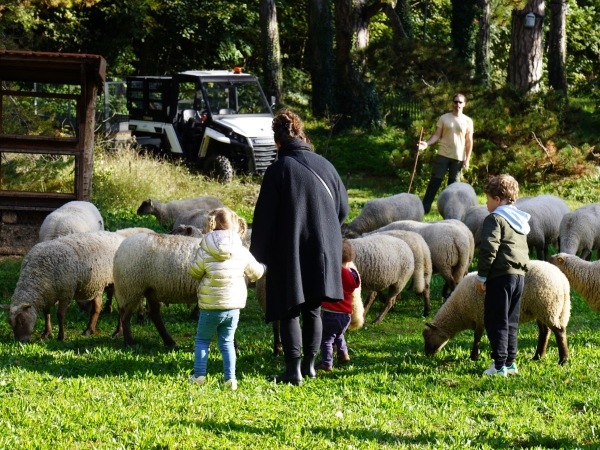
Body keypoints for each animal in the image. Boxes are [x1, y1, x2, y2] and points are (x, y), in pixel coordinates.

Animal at [422, 260, 572, 366]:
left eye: (427, 337)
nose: (426, 355)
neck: (458, 310)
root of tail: (563, 280)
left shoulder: (479, 315)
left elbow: (477, 337)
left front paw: (473, 357)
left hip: (548, 306)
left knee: (559, 331)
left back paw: (563, 360)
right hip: (542, 309)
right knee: (545, 332)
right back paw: (537, 357)